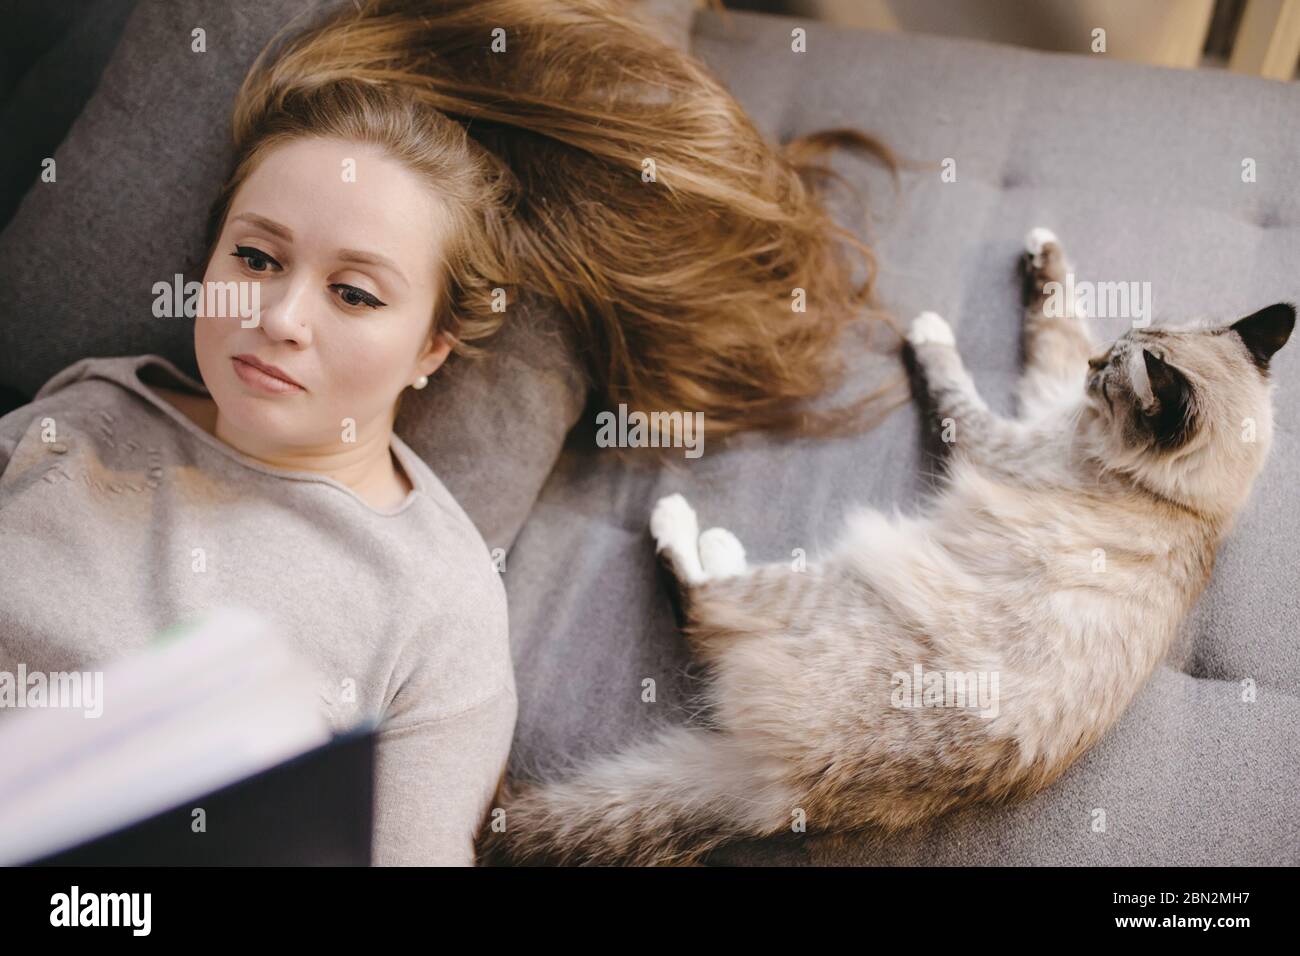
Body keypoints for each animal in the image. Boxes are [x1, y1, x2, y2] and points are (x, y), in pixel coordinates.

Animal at [483, 227, 1294, 863]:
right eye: (1115, 351)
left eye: (1110, 382)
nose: (1098, 369)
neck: (1191, 507)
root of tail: (779, 791)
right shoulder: (1047, 393)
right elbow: (1058, 317)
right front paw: (1042, 254)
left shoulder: (1003, 435)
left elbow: (953, 380)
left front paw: (931, 331)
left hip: (833, 582)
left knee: (701, 601)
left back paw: (686, 524)